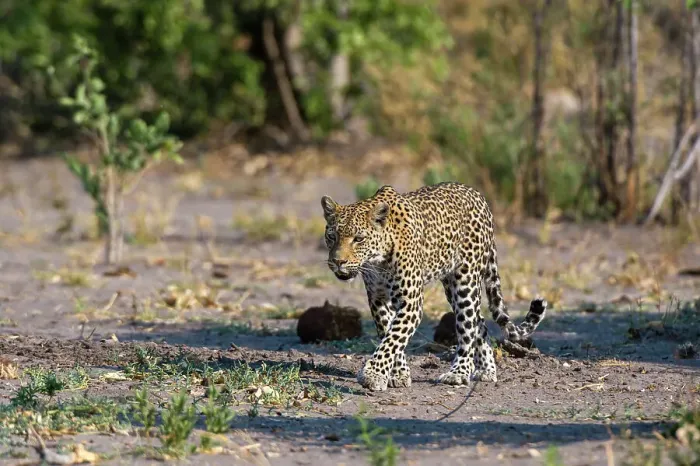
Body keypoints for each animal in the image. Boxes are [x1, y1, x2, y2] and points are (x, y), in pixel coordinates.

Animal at [320, 181, 547, 392]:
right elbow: (389, 334)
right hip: (450, 287)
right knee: (479, 321)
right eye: (332, 236)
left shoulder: (411, 302)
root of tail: (479, 197)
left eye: (358, 239)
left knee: (467, 327)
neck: (377, 260)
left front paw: (372, 375)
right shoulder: (378, 299)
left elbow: (393, 338)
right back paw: (486, 369)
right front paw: (398, 374)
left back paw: (459, 373)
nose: (338, 261)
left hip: (465, 281)